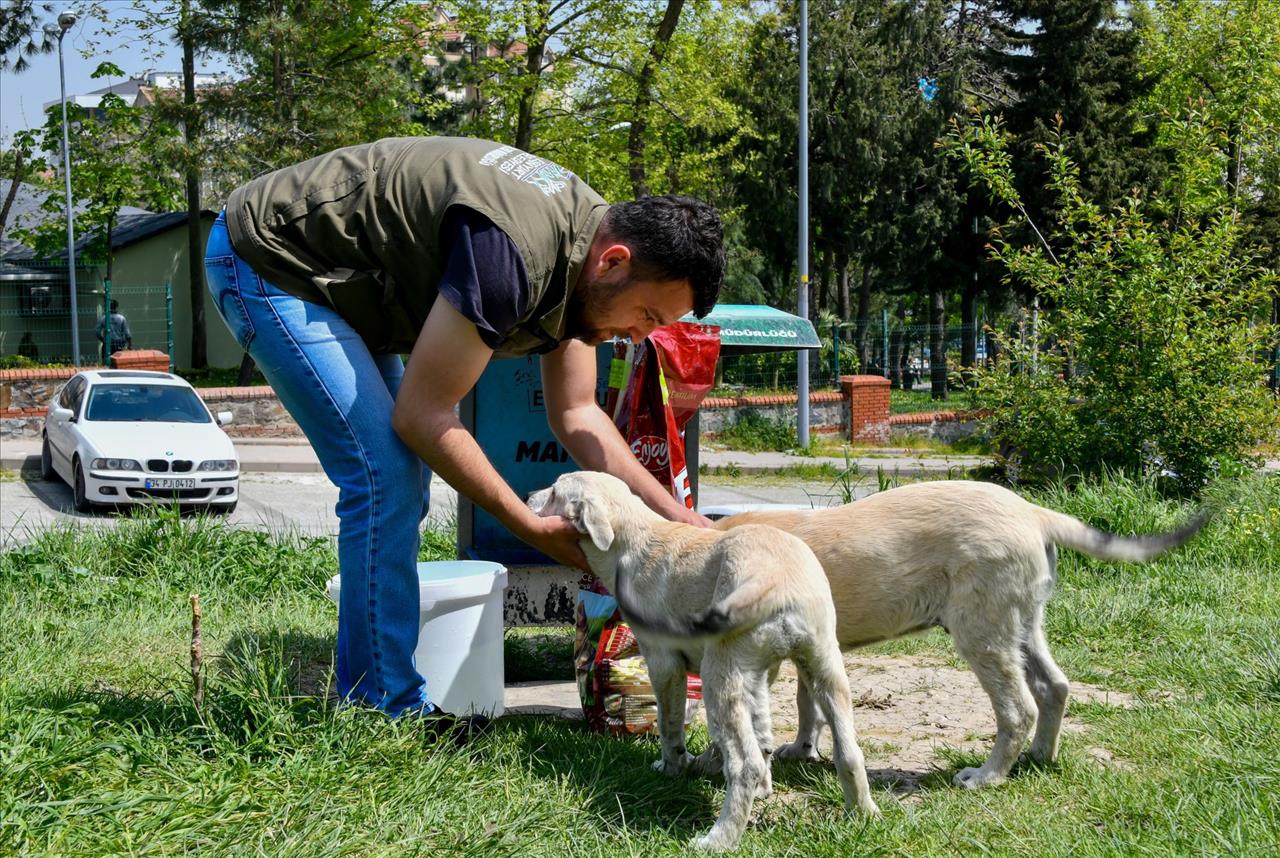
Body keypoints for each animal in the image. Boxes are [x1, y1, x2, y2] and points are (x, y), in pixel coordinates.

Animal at [529, 471, 880, 855]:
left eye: (555, 492)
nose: (528, 496)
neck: (634, 537)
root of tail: (774, 578)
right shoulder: (759, 674)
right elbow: (763, 731)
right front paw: (761, 786)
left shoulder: (663, 664)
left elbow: (669, 725)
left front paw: (672, 768)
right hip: (823, 666)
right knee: (848, 752)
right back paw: (863, 816)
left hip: (719, 675)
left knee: (745, 765)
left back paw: (718, 839)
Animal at [711, 481, 1208, 788]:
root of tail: (1034, 512)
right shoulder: (809, 650)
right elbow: (808, 703)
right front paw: (803, 748)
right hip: (1021, 624)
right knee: (1054, 687)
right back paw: (1040, 757)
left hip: (981, 632)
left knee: (1019, 709)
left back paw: (987, 777)